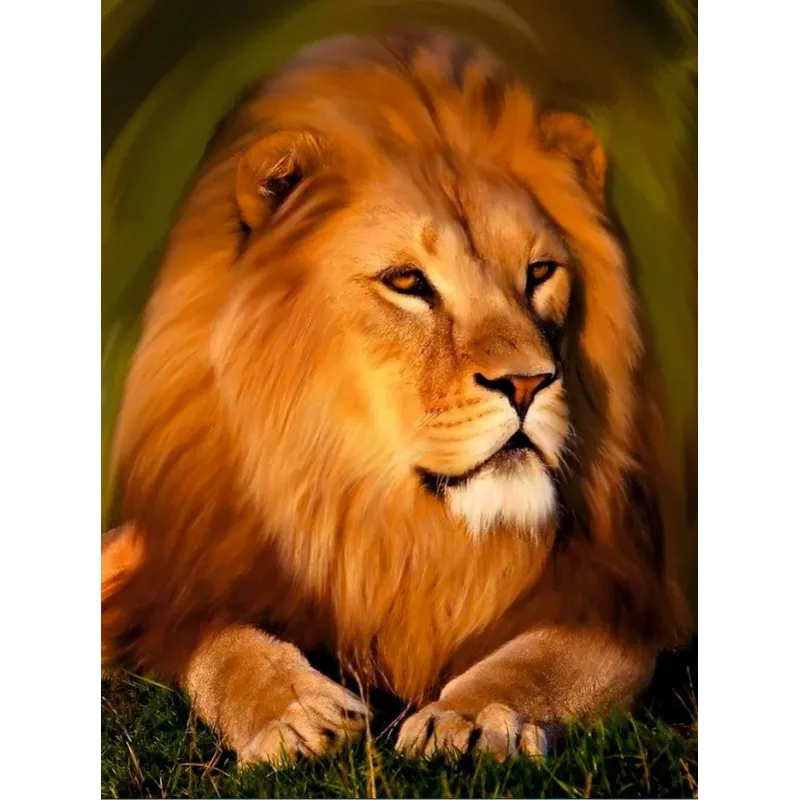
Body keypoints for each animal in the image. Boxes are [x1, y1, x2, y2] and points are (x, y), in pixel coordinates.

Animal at [100, 30, 690, 764]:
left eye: (540, 272)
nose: (528, 382)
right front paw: (295, 713)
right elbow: (226, 648)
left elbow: (541, 661)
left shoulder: (621, 595)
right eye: (408, 281)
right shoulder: (197, 583)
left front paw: (471, 716)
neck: (394, 527)